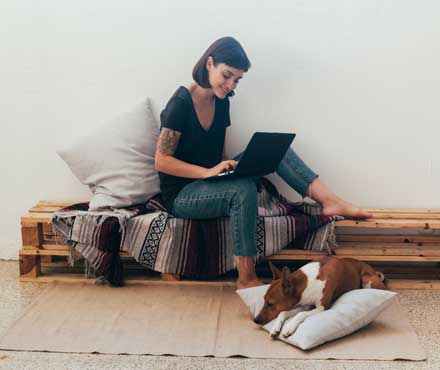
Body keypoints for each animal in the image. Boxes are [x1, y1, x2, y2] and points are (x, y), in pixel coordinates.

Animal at [254, 258, 384, 338]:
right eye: (264, 300)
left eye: (271, 304)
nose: (255, 320)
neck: (308, 282)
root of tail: (373, 271)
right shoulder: (305, 304)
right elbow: (284, 312)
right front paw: (275, 328)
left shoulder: (322, 307)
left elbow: (300, 314)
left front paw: (289, 328)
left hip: (366, 280)